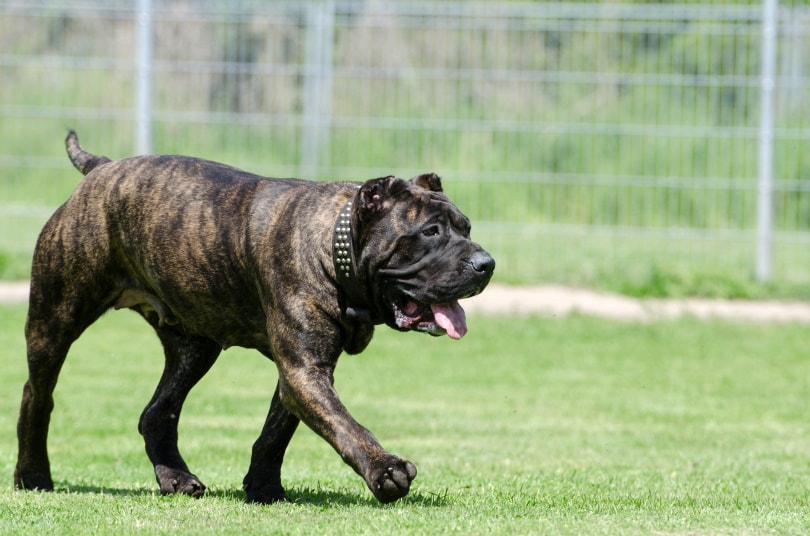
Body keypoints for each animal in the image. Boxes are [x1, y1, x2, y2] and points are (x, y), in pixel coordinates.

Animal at [14, 132, 492, 504]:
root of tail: (101, 169)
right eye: (430, 232)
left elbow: (276, 432)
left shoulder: (301, 371)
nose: (485, 263)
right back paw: (33, 475)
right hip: (55, 320)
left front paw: (263, 486)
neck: (335, 249)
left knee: (158, 412)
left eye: (466, 228)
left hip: (194, 346)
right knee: (37, 395)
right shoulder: (304, 369)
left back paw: (176, 478)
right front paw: (384, 470)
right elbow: (344, 424)